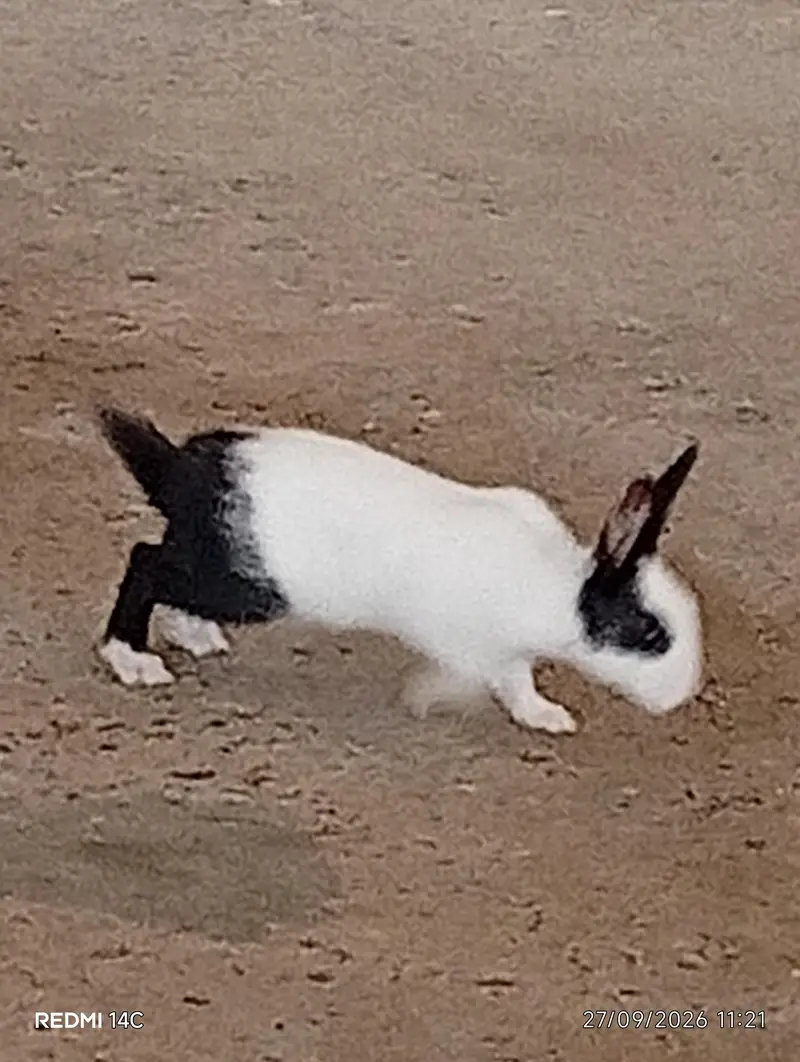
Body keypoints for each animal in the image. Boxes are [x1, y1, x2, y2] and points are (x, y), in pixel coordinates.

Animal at [95, 407, 703, 735]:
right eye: (651, 633)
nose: (682, 694)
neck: (554, 587)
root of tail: (180, 471)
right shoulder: (474, 644)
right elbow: (504, 678)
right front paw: (437, 697)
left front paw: (543, 715)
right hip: (243, 585)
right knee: (146, 562)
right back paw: (133, 659)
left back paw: (193, 634)